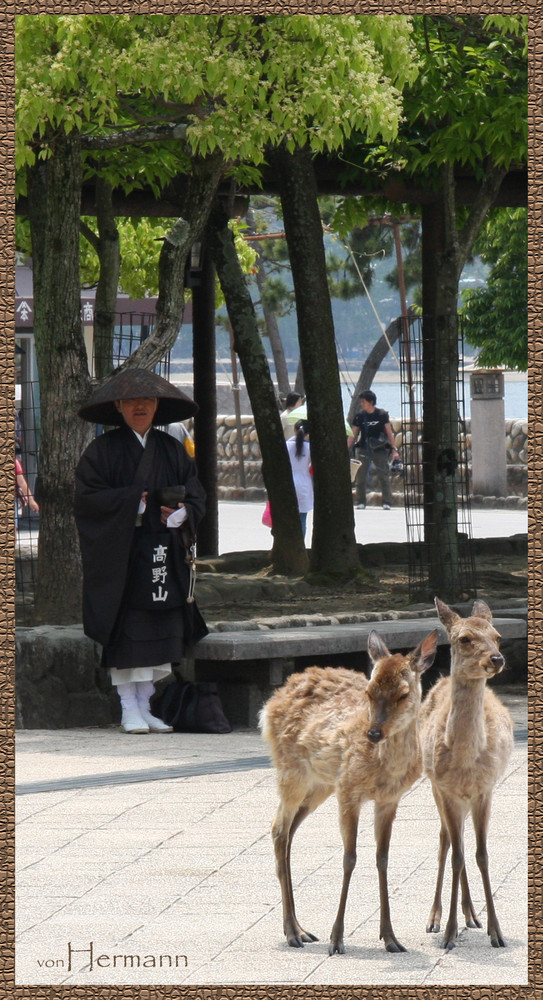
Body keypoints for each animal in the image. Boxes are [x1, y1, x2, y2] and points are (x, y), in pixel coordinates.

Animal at [260, 628, 438, 956]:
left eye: (403, 693)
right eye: (369, 691)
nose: (374, 733)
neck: (383, 769)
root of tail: (269, 704)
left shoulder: (389, 799)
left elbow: (383, 857)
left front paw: (391, 938)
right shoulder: (348, 790)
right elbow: (349, 857)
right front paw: (337, 939)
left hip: (320, 784)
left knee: (289, 831)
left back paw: (301, 930)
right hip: (291, 772)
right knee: (278, 828)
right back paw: (291, 933)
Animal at [420, 596, 516, 948]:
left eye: (498, 636)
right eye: (464, 638)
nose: (497, 658)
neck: (465, 761)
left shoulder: (485, 789)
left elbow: (482, 854)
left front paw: (496, 932)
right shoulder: (446, 789)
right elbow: (457, 854)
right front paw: (448, 932)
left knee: (457, 839)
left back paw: (472, 915)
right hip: (435, 787)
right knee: (446, 841)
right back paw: (435, 918)